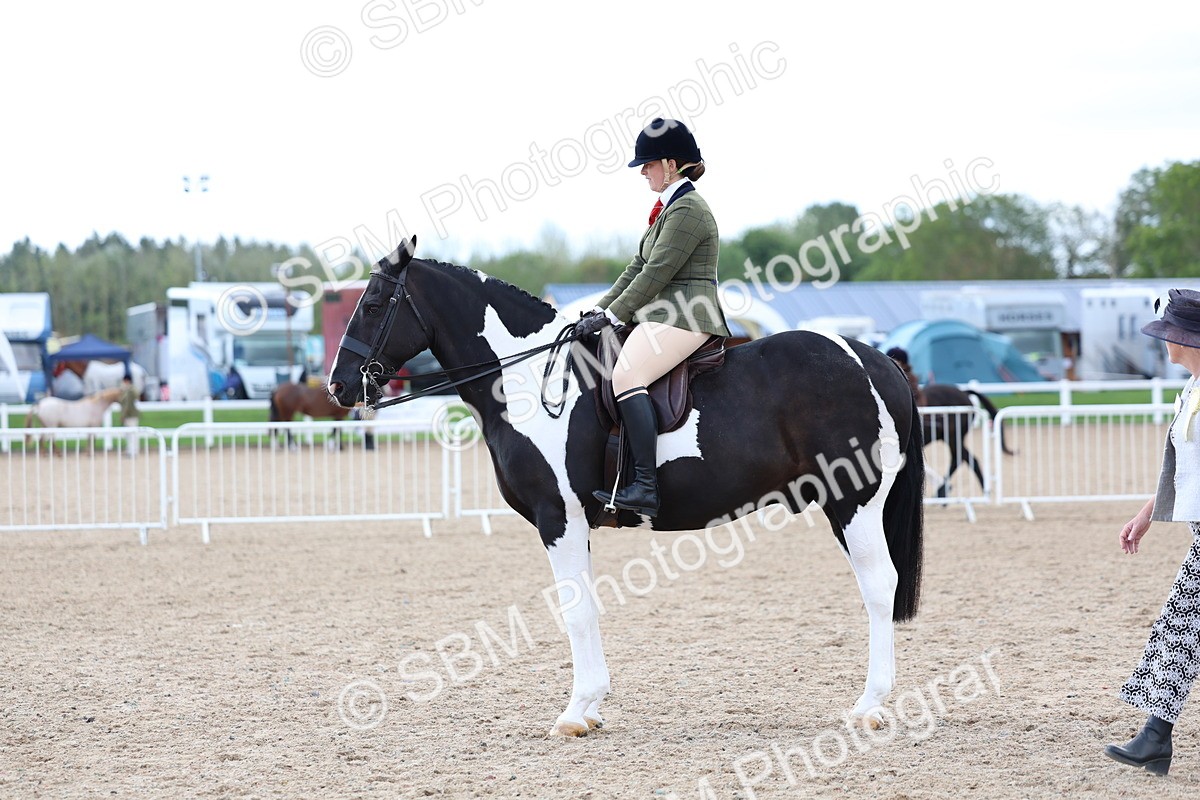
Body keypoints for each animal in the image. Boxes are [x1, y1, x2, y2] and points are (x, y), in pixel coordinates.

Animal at [327, 238, 925, 736]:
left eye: (374, 304)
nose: (339, 385)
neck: (527, 380)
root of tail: (877, 361)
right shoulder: (573, 523)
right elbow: (586, 605)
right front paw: (591, 707)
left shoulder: (558, 517)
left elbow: (574, 611)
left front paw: (574, 713)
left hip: (854, 502)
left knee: (879, 586)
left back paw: (869, 706)